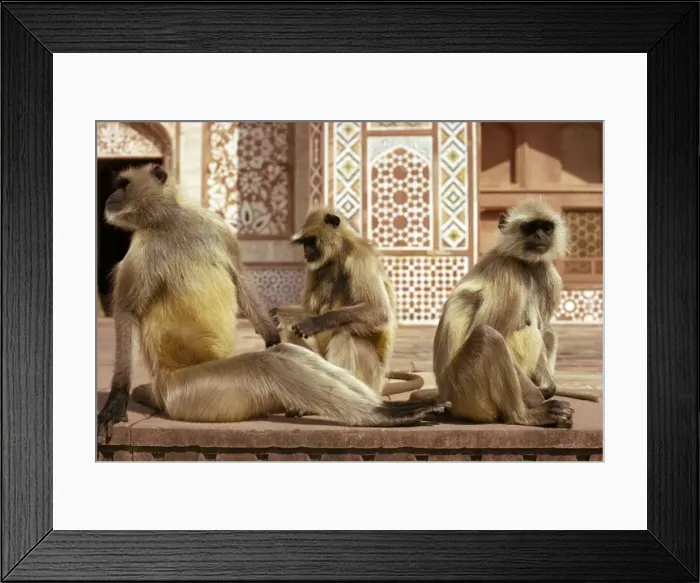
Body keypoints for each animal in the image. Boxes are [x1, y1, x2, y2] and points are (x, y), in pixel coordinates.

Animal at [268, 206, 424, 418]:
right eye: (304, 243)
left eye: (311, 241)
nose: (305, 251)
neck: (339, 254)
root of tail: (380, 384)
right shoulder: (315, 267)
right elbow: (308, 310)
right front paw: (278, 314)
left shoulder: (360, 258)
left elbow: (378, 311)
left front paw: (316, 322)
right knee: (286, 332)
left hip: (370, 377)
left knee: (344, 334)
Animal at [409, 197, 601, 429]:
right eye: (529, 228)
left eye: (546, 227)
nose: (539, 236)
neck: (525, 264)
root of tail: (444, 393)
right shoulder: (507, 274)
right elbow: (493, 328)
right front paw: (539, 399)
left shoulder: (548, 274)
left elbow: (543, 327)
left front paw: (548, 387)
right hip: (467, 393)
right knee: (488, 335)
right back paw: (525, 415)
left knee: (546, 332)